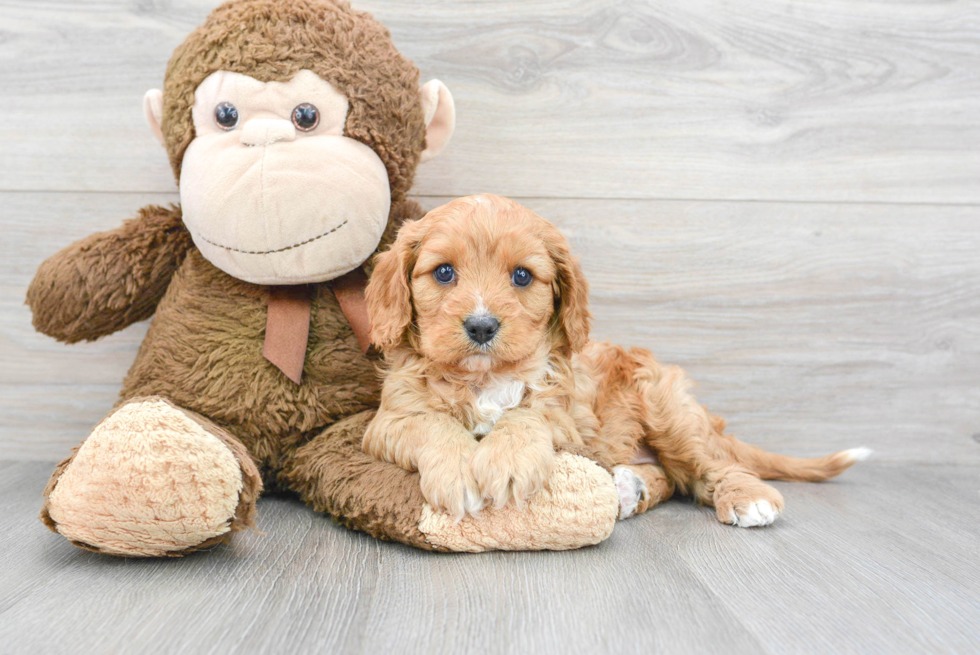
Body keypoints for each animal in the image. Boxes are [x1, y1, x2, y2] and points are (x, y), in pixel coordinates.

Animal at [364, 195, 868, 528]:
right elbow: (434, 424)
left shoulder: (566, 416)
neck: (486, 379)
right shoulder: (391, 418)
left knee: (714, 466)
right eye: (444, 272)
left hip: (669, 412)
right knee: (676, 479)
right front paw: (457, 475)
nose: (482, 327)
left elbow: (526, 418)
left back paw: (748, 499)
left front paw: (506, 462)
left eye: (522, 276)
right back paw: (630, 489)